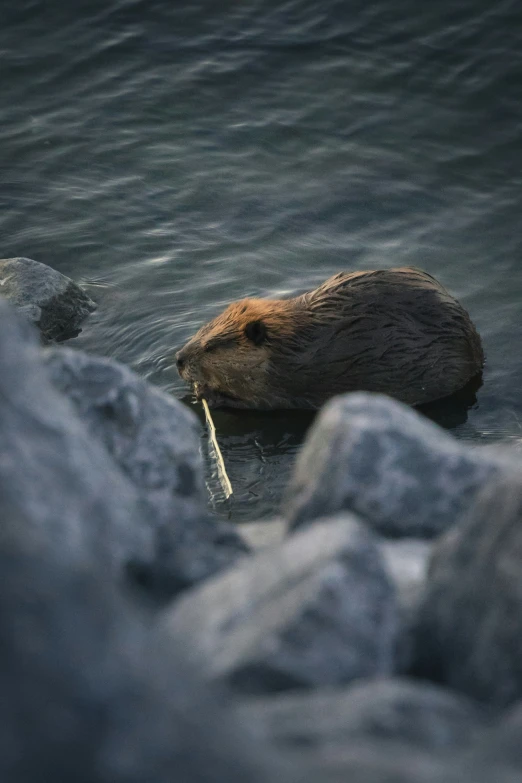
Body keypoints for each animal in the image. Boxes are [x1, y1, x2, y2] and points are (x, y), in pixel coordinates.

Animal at [176, 268, 484, 410]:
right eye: (202, 330)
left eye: (211, 346)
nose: (178, 359)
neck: (291, 345)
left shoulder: (286, 382)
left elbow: (260, 404)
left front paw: (204, 392)